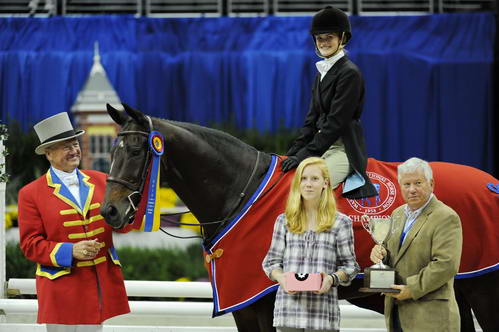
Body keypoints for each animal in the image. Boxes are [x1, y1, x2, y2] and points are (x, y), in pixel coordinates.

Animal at [101, 104, 499, 332]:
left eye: (135, 151)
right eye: (112, 151)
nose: (110, 211)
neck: (241, 190)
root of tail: (492, 183)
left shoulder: (261, 301)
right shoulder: (245, 308)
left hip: (483, 287)